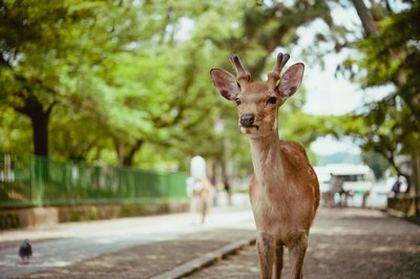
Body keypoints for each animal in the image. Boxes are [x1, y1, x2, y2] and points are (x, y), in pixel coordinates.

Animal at [208, 53, 320, 279]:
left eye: (272, 99)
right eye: (238, 100)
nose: (246, 118)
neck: (280, 210)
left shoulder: (301, 233)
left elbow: (296, 274)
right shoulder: (262, 234)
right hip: (277, 241)